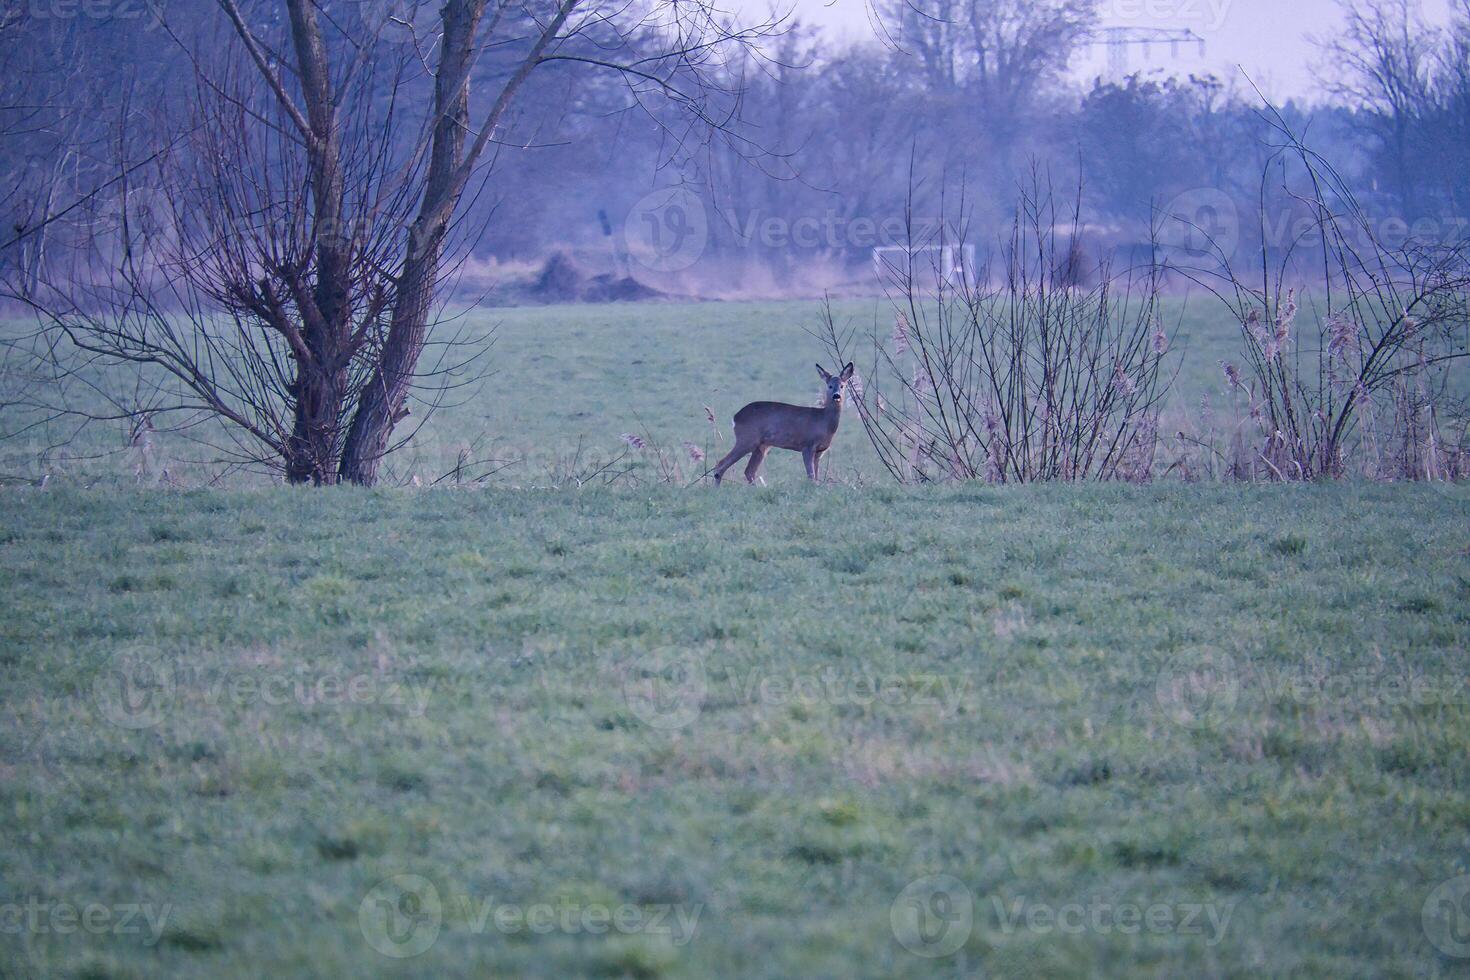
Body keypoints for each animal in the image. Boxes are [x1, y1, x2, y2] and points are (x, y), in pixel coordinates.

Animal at [708, 362, 852, 484]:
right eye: (829, 386)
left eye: (843, 386)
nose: (836, 396)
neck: (823, 421)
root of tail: (735, 417)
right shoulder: (807, 446)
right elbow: (811, 476)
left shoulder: (820, 451)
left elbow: (816, 477)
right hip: (747, 439)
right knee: (721, 465)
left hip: (761, 445)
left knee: (749, 471)